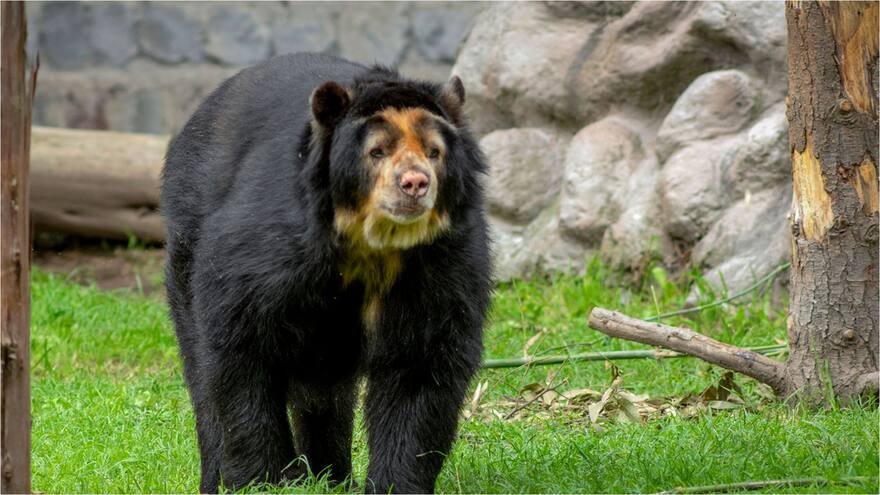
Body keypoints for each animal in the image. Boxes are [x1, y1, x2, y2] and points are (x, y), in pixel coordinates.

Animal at [161, 52, 492, 493]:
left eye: (434, 151)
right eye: (377, 151)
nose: (415, 183)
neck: (375, 246)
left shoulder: (443, 265)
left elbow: (422, 369)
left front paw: (394, 484)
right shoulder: (268, 250)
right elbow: (238, 345)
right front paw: (258, 480)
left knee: (324, 389)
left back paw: (330, 475)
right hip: (187, 240)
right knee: (201, 365)